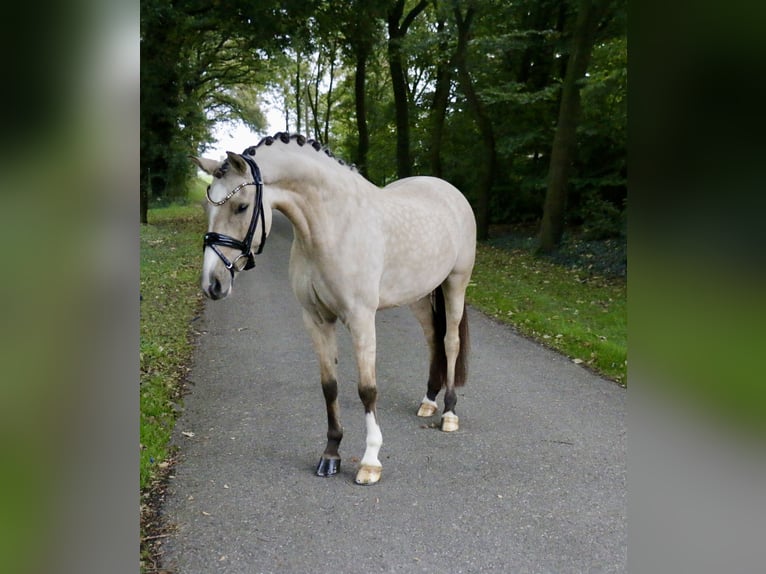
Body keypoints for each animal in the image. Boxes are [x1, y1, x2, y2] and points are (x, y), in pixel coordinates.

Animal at [192, 134, 476, 486]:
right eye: (208, 207)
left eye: (241, 206)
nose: (213, 284)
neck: (334, 227)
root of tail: (449, 191)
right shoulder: (316, 319)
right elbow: (330, 386)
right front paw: (331, 455)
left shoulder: (361, 319)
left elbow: (367, 389)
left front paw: (370, 462)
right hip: (420, 296)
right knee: (433, 340)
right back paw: (428, 402)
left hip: (456, 284)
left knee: (450, 342)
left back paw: (449, 412)